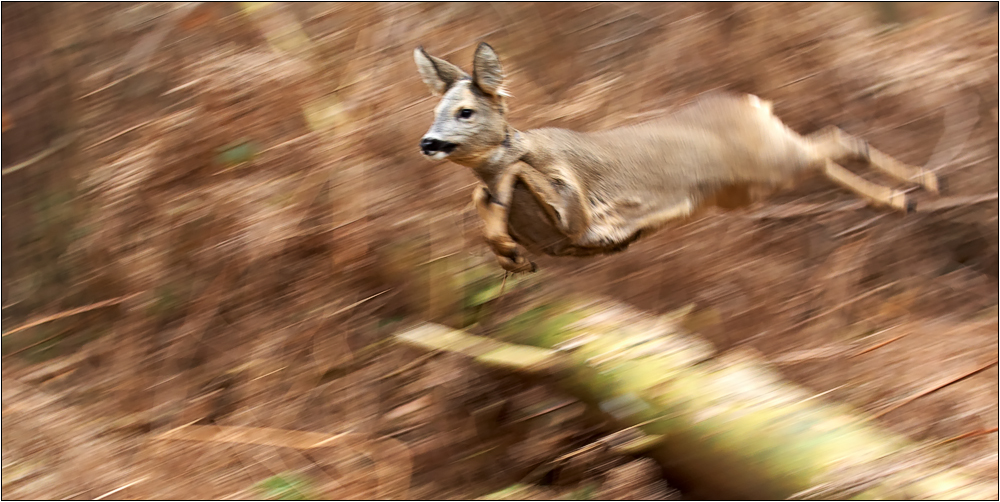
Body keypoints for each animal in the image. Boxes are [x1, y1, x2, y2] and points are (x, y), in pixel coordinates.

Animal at [412, 41, 936, 272]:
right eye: (435, 109)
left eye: (465, 111)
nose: (428, 143)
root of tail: (751, 101)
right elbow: (482, 199)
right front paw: (508, 254)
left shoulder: (577, 212)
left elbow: (513, 174)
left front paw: (506, 239)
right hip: (753, 185)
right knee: (829, 148)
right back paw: (905, 195)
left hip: (772, 160)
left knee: (838, 141)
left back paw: (918, 186)